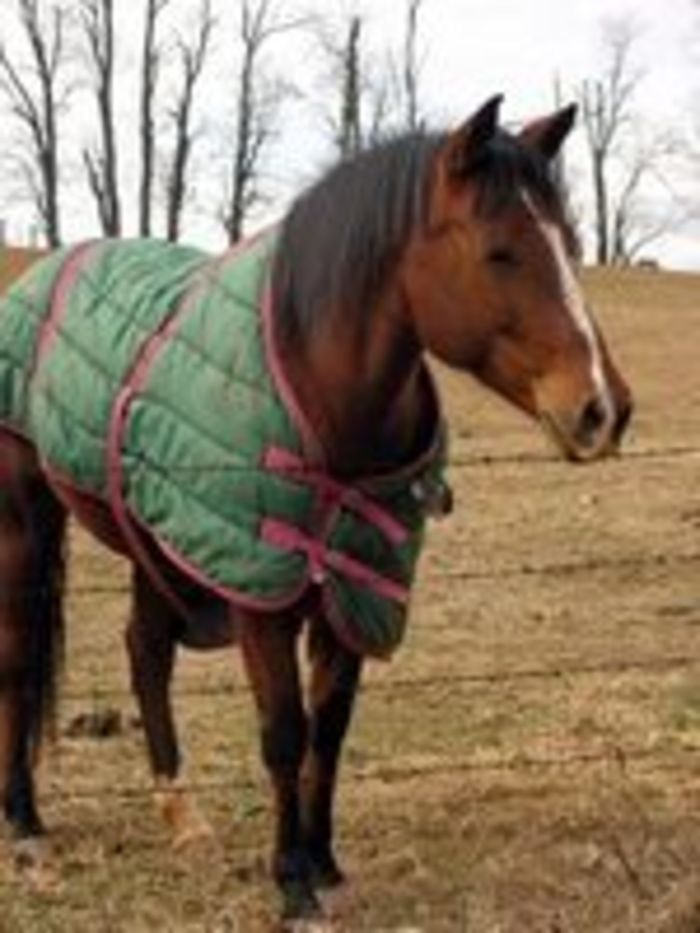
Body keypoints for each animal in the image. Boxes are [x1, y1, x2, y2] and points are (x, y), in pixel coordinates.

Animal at [0, 95, 632, 923]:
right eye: (500, 253)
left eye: (572, 244)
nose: (602, 409)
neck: (317, 386)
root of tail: (45, 270)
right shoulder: (260, 595)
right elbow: (285, 732)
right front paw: (291, 880)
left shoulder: (354, 590)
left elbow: (329, 731)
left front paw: (324, 860)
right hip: (27, 521)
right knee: (20, 658)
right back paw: (23, 820)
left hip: (156, 540)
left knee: (145, 651)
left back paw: (181, 812)